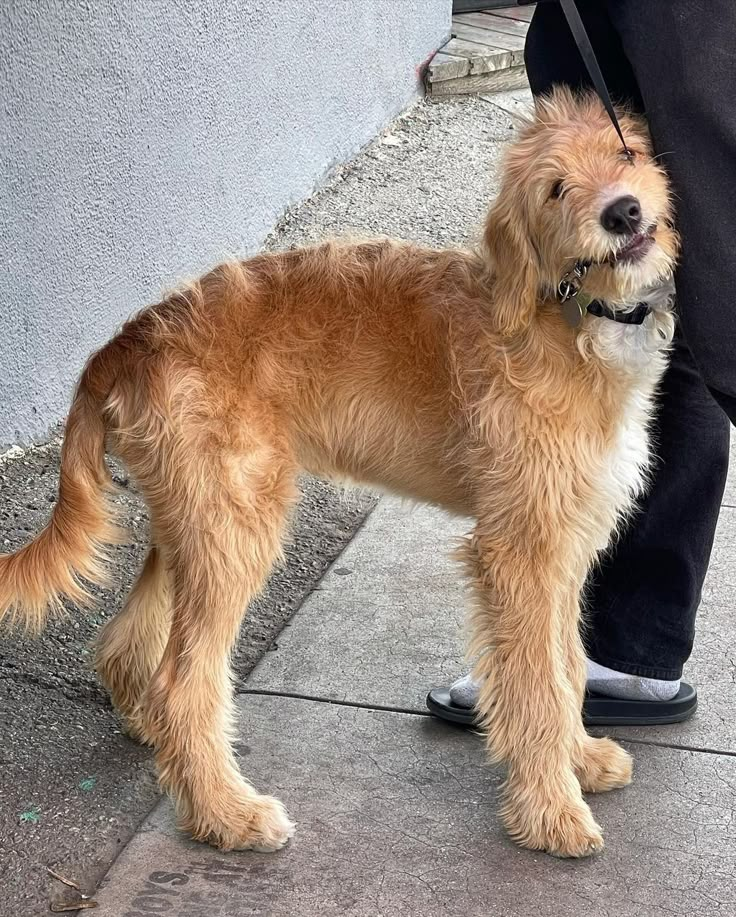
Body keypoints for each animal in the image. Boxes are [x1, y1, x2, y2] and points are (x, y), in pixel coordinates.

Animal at [0, 89, 680, 856]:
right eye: (556, 188)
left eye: (625, 153)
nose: (622, 212)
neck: (562, 314)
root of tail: (127, 338)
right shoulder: (521, 549)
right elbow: (539, 682)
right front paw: (552, 812)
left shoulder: (565, 541)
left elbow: (566, 665)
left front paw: (580, 759)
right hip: (238, 528)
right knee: (184, 680)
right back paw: (224, 812)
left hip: (195, 522)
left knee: (127, 643)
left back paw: (165, 745)